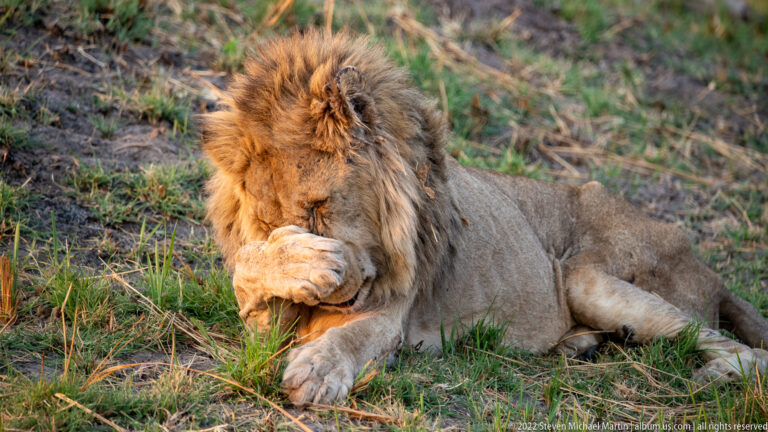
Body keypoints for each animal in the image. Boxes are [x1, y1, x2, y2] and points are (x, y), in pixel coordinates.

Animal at [200, 30, 768, 406]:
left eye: (319, 206)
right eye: (270, 224)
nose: (327, 295)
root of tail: (709, 268)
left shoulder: (392, 312)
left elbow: (350, 336)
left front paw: (317, 369)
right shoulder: (266, 322)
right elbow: (246, 270)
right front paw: (297, 267)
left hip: (585, 275)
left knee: (733, 345)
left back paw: (719, 376)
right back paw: (581, 345)